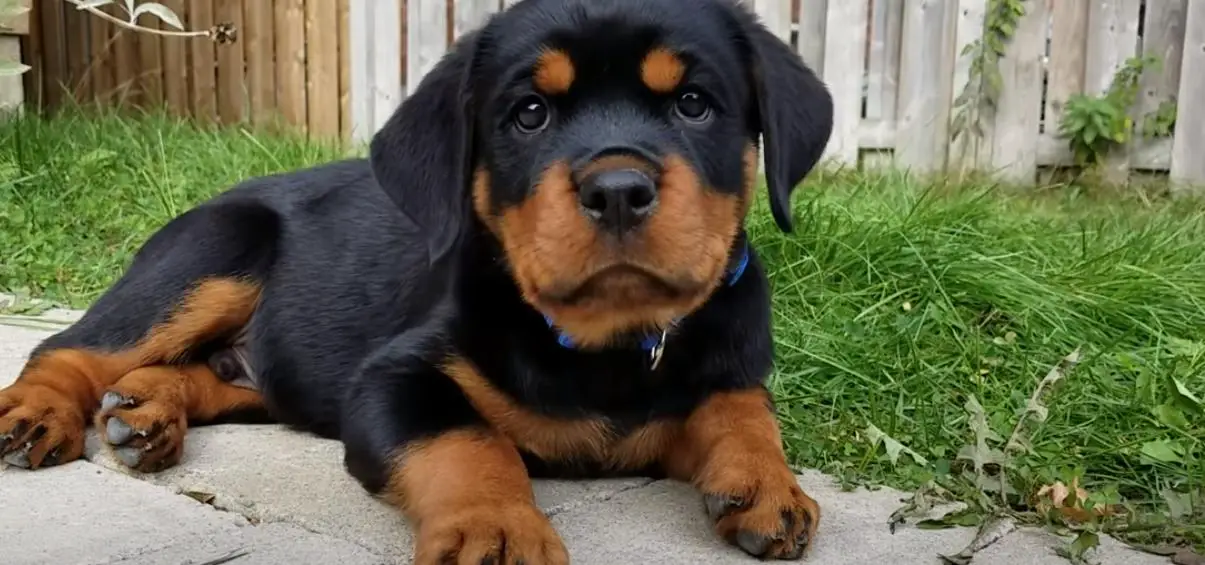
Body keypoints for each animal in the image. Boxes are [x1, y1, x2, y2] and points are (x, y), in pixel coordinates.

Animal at [0, 0, 833, 556]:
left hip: (269, 372)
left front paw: (767, 482)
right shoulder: (391, 378)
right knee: (70, 348)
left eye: (693, 103)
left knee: (200, 372)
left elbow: (740, 403)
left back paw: (143, 410)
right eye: (528, 113)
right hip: (214, 250)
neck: (602, 345)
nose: (618, 189)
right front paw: (497, 527)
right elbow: (465, 436)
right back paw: (38, 414)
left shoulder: (722, 361)